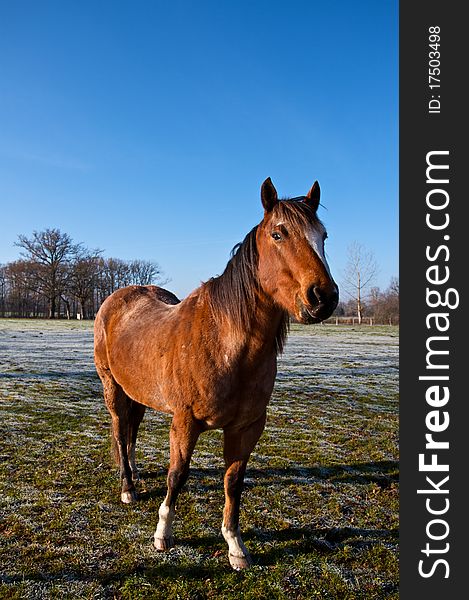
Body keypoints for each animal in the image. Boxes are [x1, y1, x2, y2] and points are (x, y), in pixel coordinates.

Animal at [94, 177, 336, 568]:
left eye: (323, 236)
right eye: (278, 234)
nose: (323, 297)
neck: (227, 346)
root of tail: (118, 298)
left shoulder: (247, 427)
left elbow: (233, 481)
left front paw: (235, 545)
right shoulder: (185, 421)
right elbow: (177, 475)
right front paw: (163, 534)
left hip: (138, 392)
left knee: (130, 432)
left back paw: (133, 471)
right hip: (112, 388)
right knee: (118, 429)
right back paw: (128, 487)